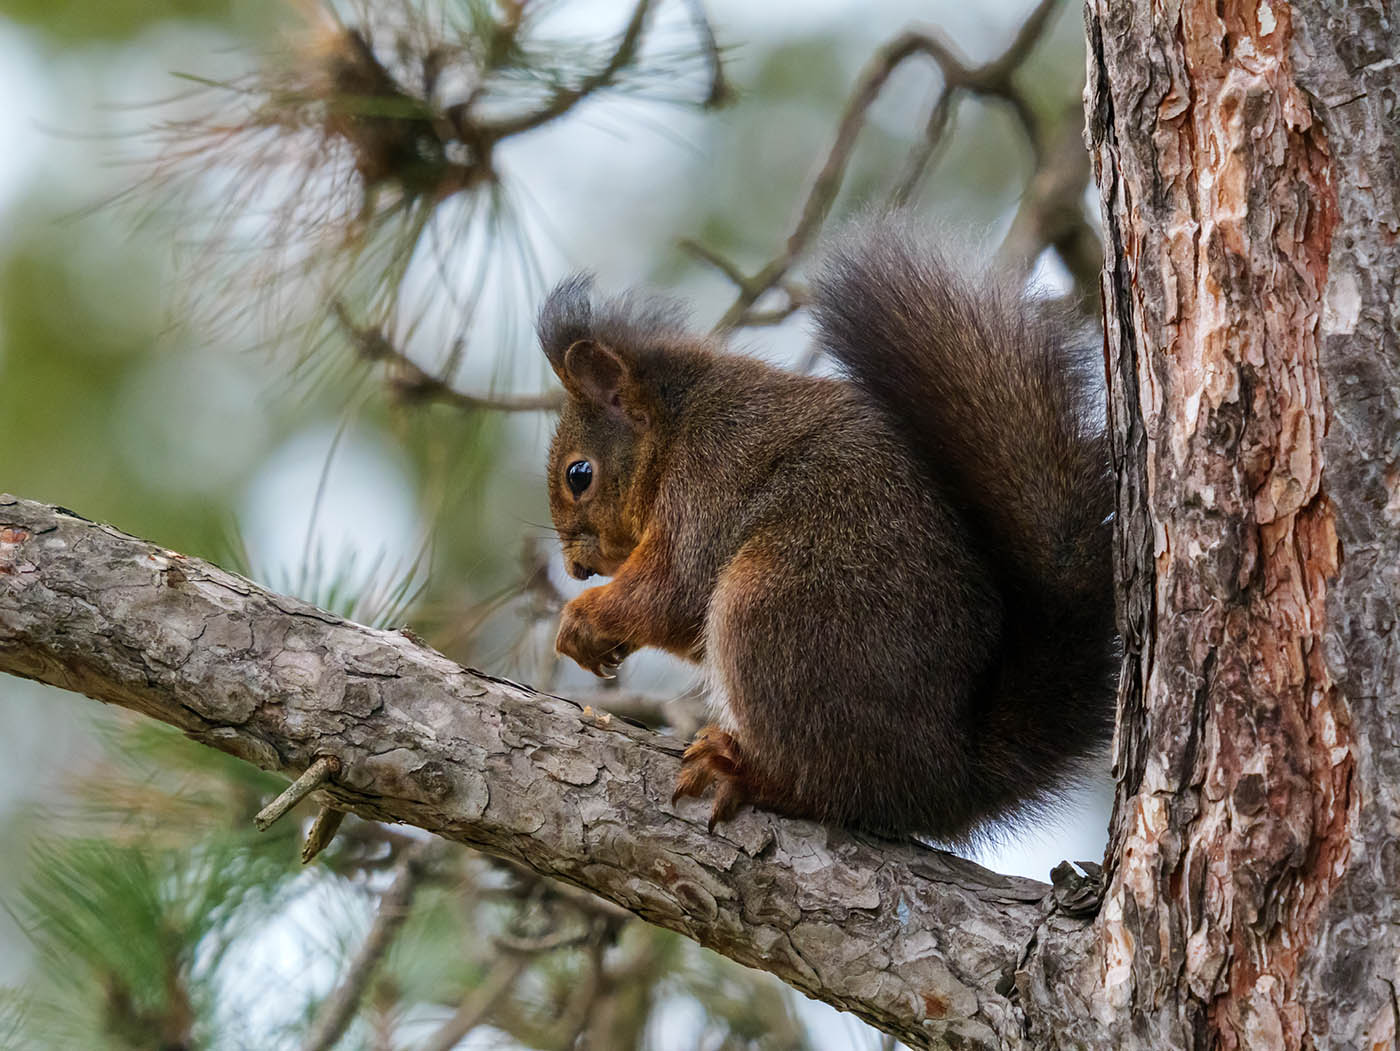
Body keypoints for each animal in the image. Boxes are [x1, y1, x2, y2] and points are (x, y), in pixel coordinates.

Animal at [534, 218, 1114, 845]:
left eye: (579, 475)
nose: (576, 569)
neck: (676, 426)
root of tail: (946, 778)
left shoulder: (708, 478)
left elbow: (674, 590)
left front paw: (582, 619)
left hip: (773, 612)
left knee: (831, 785)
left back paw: (748, 772)